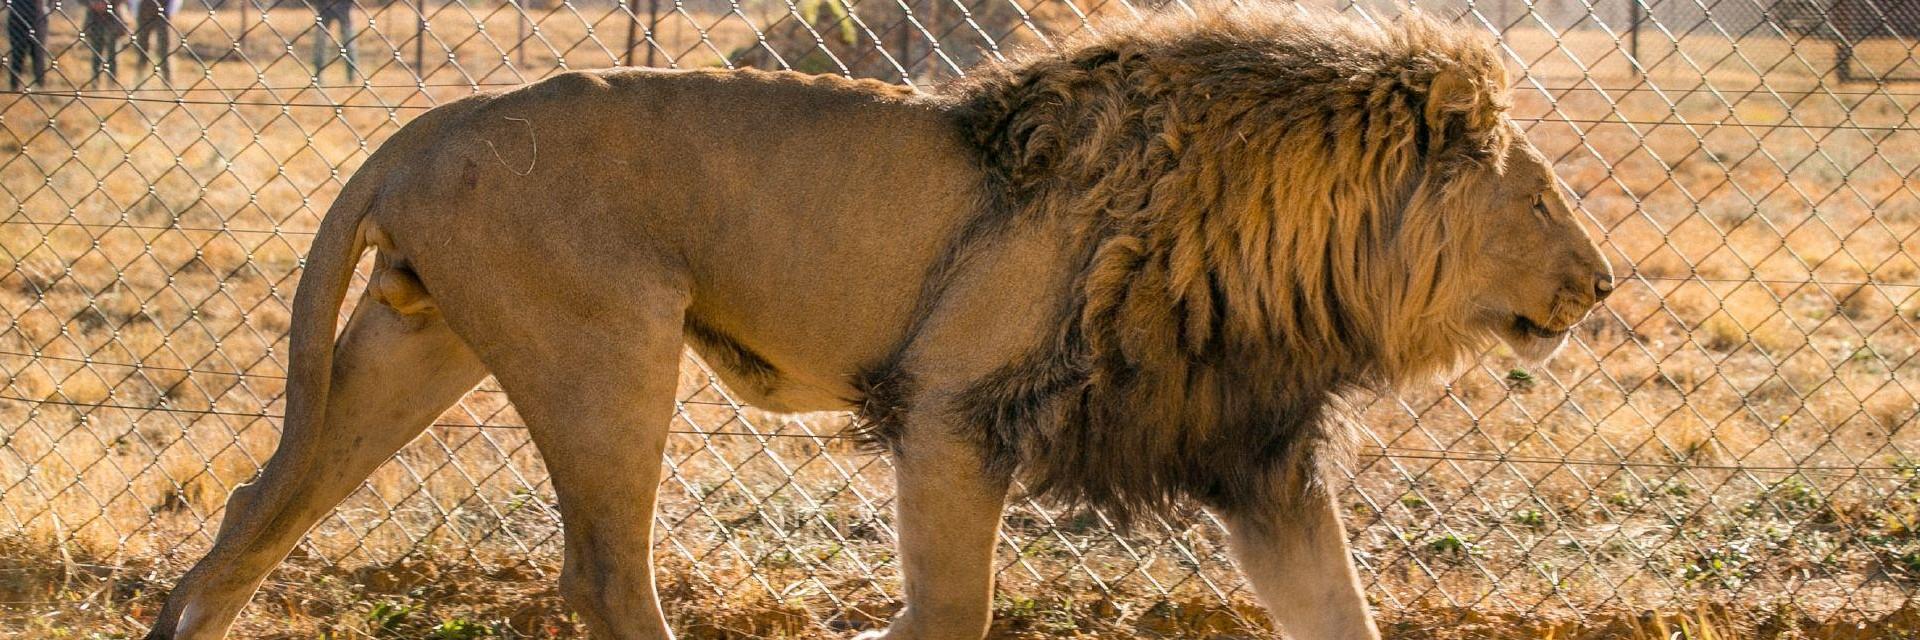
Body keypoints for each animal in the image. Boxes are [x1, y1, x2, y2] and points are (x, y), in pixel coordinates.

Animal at [143, 5, 1613, 639]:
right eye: (1543, 199)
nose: (1602, 286)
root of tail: (419, 129)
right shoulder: (955, 411)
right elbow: (951, 610)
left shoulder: (1255, 457)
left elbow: (1340, 615)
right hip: (610, 351)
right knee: (605, 578)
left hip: (418, 344)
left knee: (255, 517)